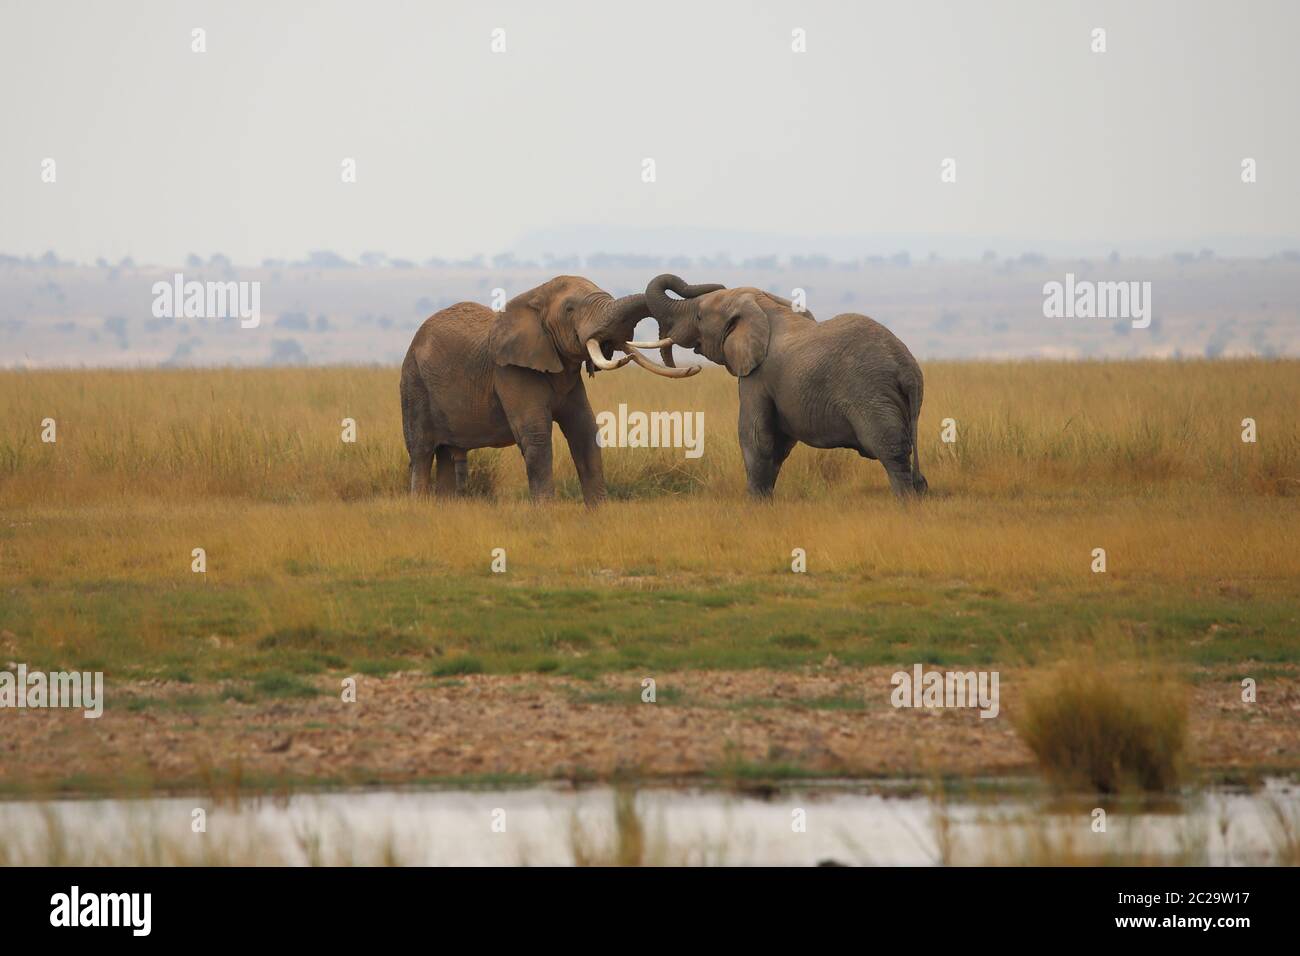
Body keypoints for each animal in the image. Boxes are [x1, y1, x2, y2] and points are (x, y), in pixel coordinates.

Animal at [397, 273, 696, 504]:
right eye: (570, 310)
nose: (694, 367)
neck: (535, 297)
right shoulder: (510, 370)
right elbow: (537, 435)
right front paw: (545, 514)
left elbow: (584, 430)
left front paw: (599, 514)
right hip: (414, 382)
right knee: (421, 452)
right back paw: (420, 509)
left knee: (446, 453)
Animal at [644, 273, 930, 502]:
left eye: (700, 316)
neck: (764, 305)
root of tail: (907, 369)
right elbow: (778, 444)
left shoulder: (757, 376)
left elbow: (755, 436)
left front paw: (755, 506)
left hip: (870, 395)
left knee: (891, 451)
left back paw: (904, 503)